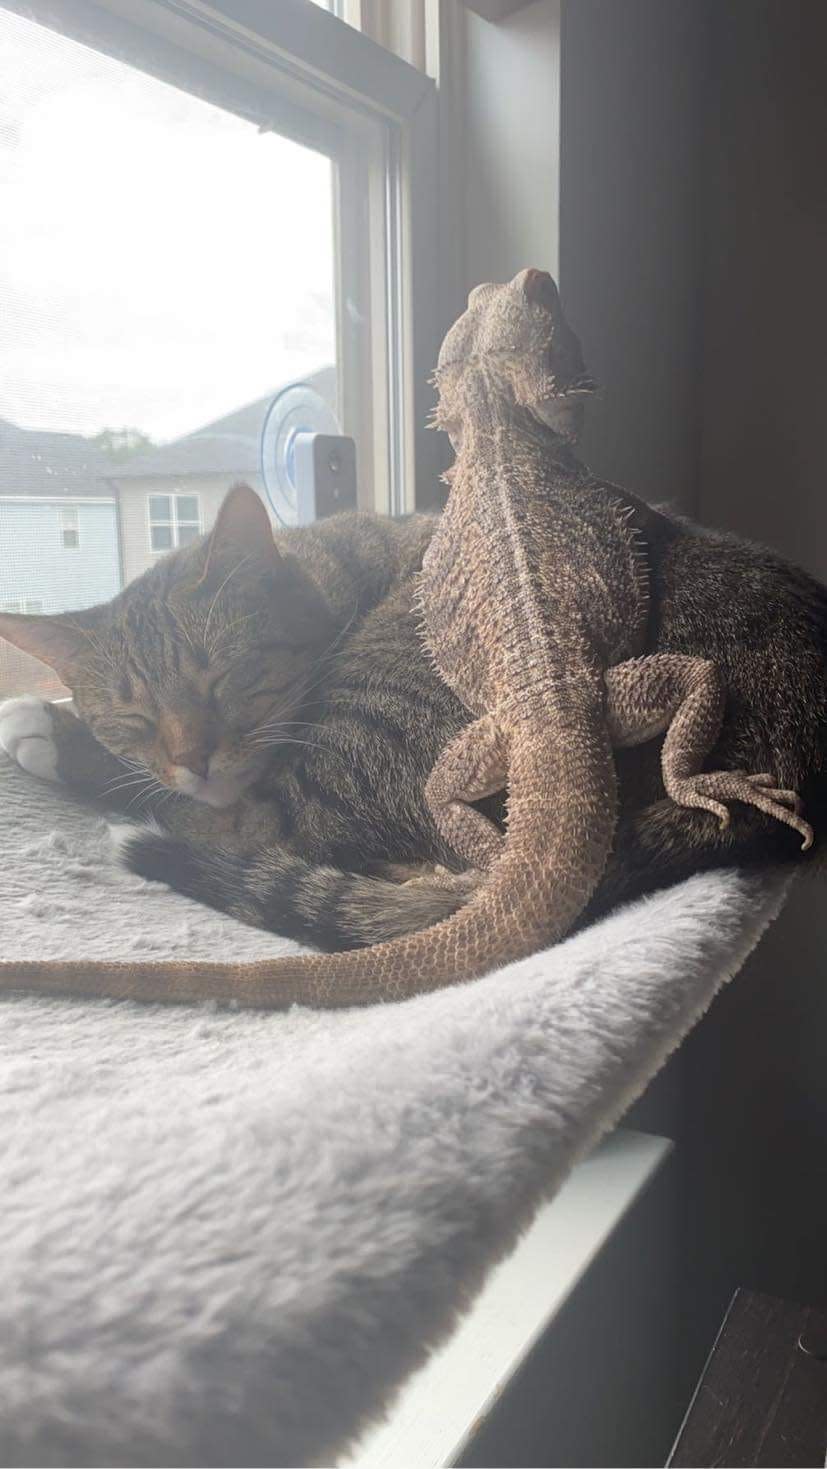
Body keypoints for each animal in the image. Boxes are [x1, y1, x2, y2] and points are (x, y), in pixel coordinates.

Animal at [1, 478, 827, 940]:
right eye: (133, 719)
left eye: (225, 679)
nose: (191, 759)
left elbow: (227, 813)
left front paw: (52, 731)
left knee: (266, 828)